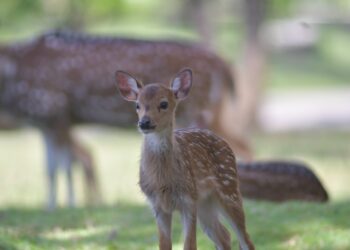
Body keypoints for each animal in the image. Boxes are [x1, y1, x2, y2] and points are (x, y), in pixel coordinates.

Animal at [0, 30, 328, 208]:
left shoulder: (53, 108)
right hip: (214, 110)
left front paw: (65, 207)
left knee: (240, 146)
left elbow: (62, 165)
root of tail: (225, 66)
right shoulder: (44, 120)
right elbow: (51, 167)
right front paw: (53, 208)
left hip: (202, 108)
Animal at [115, 68, 254, 250]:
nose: (144, 122)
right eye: (137, 105)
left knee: (245, 239)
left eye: (164, 104)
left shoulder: (188, 200)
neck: (163, 181)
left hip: (229, 189)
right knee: (224, 235)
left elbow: (190, 244)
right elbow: (164, 245)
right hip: (205, 203)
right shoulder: (157, 205)